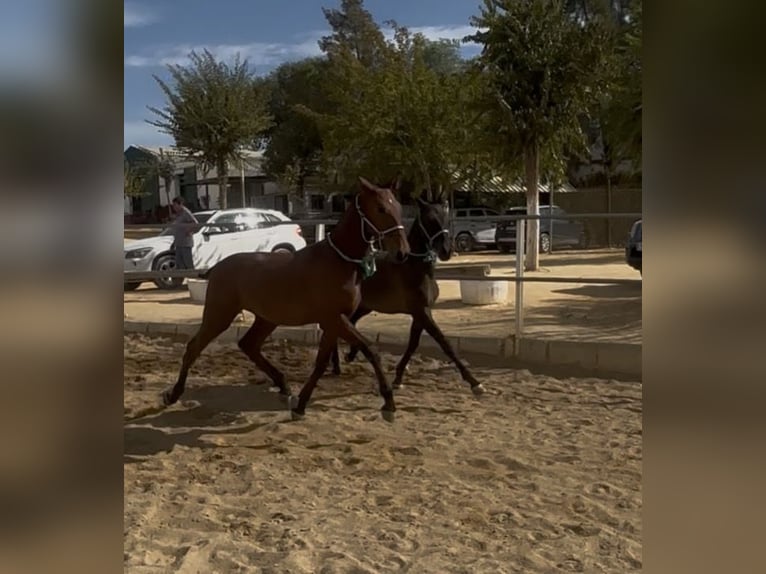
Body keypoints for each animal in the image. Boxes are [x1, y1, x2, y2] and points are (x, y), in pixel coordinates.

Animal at [161, 177, 411, 422]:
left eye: (398, 207)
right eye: (380, 208)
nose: (402, 253)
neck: (339, 261)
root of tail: (216, 267)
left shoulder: (334, 323)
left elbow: (322, 363)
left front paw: (300, 405)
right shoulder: (334, 319)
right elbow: (370, 350)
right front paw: (389, 404)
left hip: (266, 319)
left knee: (248, 344)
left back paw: (283, 386)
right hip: (219, 315)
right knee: (194, 347)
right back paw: (172, 395)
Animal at [328, 196, 484, 396]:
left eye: (447, 219)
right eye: (429, 220)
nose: (446, 251)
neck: (415, 268)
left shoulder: (420, 313)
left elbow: (413, 344)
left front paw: (398, 378)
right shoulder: (422, 312)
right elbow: (444, 343)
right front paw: (475, 383)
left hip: (364, 308)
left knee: (351, 325)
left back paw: (346, 358)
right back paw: (337, 365)